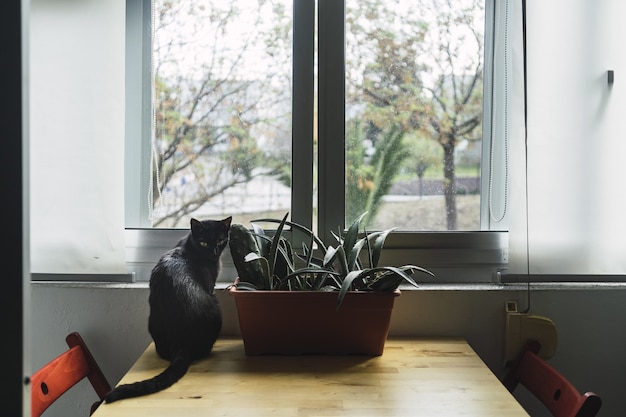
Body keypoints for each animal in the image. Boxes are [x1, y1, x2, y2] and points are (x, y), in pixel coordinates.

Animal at [105, 216, 232, 402]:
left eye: (220, 241)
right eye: (204, 243)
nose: (214, 252)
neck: (189, 247)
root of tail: (181, 342)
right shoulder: (210, 285)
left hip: (152, 321)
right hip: (216, 308)